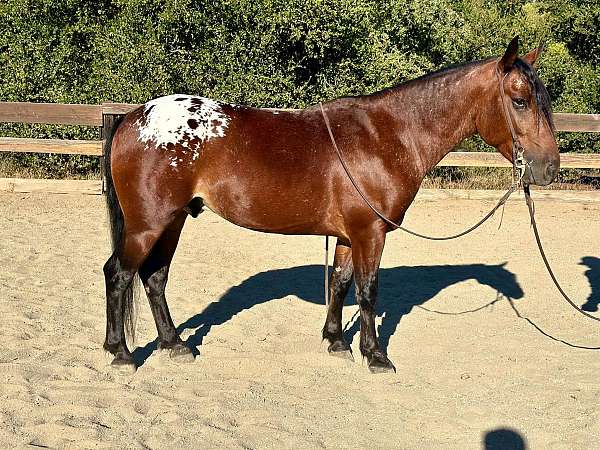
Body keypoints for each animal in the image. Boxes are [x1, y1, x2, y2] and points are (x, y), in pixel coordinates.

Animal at [102, 35, 556, 374]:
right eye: (520, 101)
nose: (549, 167)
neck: (388, 136)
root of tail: (133, 118)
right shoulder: (370, 233)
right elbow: (369, 289)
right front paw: (376, 356)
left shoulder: (348, 235)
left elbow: (340, 282)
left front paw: (336, 341)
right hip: (148, 223)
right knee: (119, 274)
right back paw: (121, 353)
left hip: (173, 220)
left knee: (154, 278)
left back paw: (174, 344)